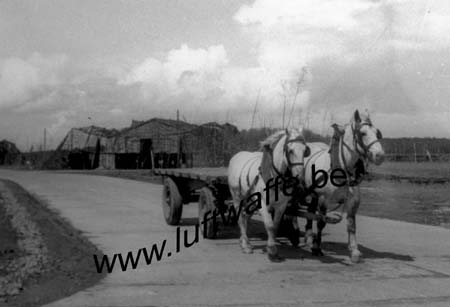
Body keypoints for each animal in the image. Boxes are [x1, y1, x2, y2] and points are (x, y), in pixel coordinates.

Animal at [229, 127, 310, 262]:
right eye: (290, 150)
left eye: (305, 151)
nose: (300, 179)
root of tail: (236, 156)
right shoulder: (261, 203)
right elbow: (269, 225)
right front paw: (271, 250)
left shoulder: (281, 205)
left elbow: (275, 226)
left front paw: (273, 251)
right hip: (236, 196)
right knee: (240, 218)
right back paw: (245, 245)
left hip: (250, 201)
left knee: (246, 218)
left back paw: (244, 241)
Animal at [300, 109, 384, 264]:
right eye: (362, 133)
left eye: (377, 133)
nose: (380, 155)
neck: (342, 168)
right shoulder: (324, 199)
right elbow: (321, 222)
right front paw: (316, 248)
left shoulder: (352, 201)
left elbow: (351, 225)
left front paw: (354, 251)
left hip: (313, 194)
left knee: (310, 211)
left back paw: (308, 236)